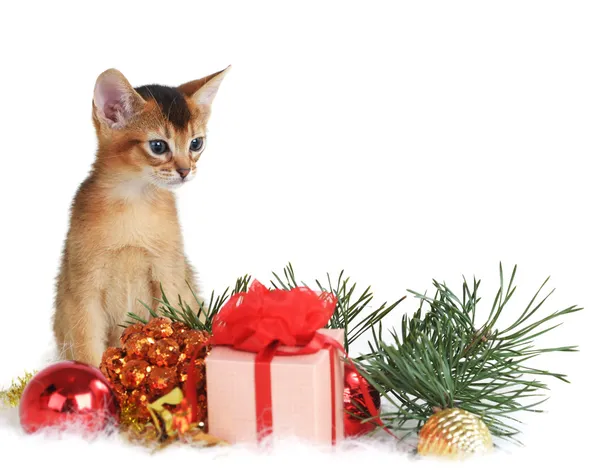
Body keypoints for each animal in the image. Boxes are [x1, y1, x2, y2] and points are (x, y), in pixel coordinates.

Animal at [53, 67, 230, 368]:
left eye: (196, 143)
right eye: (158, 146)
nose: (186, 171)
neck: (133, 204)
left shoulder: (168, 277)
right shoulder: (84, 291)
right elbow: (88, 350)